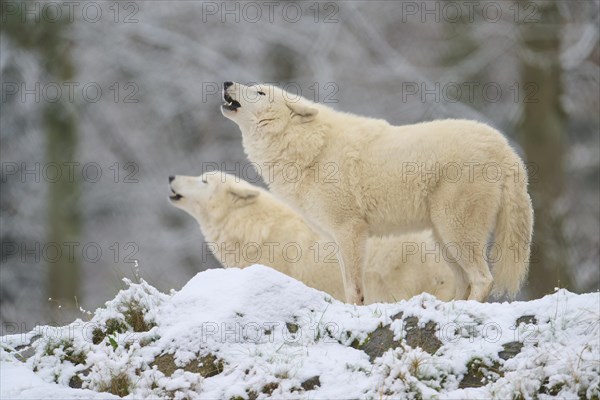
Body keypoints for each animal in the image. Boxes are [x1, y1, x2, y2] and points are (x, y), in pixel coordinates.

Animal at [220, 81, 536, 304]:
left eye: (259, 91)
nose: (226, 83)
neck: (309, 147)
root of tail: (505, 148)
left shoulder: (350, 230)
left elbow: (353, 288)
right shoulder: (337, 238)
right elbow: (347, 284)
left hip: (455, 231)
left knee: (483, 279)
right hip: (442, 239)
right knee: (465, 281)